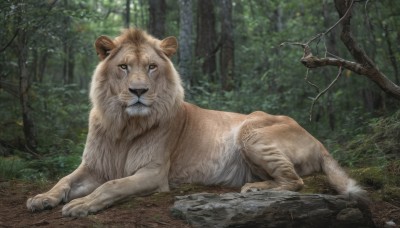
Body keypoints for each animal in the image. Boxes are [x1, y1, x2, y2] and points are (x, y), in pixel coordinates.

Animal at [26, 29, 368, 217]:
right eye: (123, 67)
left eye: (151, 67)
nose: (139, 92)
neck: (124, 125)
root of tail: (318, 140)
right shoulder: (94, 165)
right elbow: (64, 181)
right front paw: (42, 199)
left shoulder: (154, 173)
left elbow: (112, 186)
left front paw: (81, 205)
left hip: (251, 131)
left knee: (295, 181)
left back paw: (253, 189)